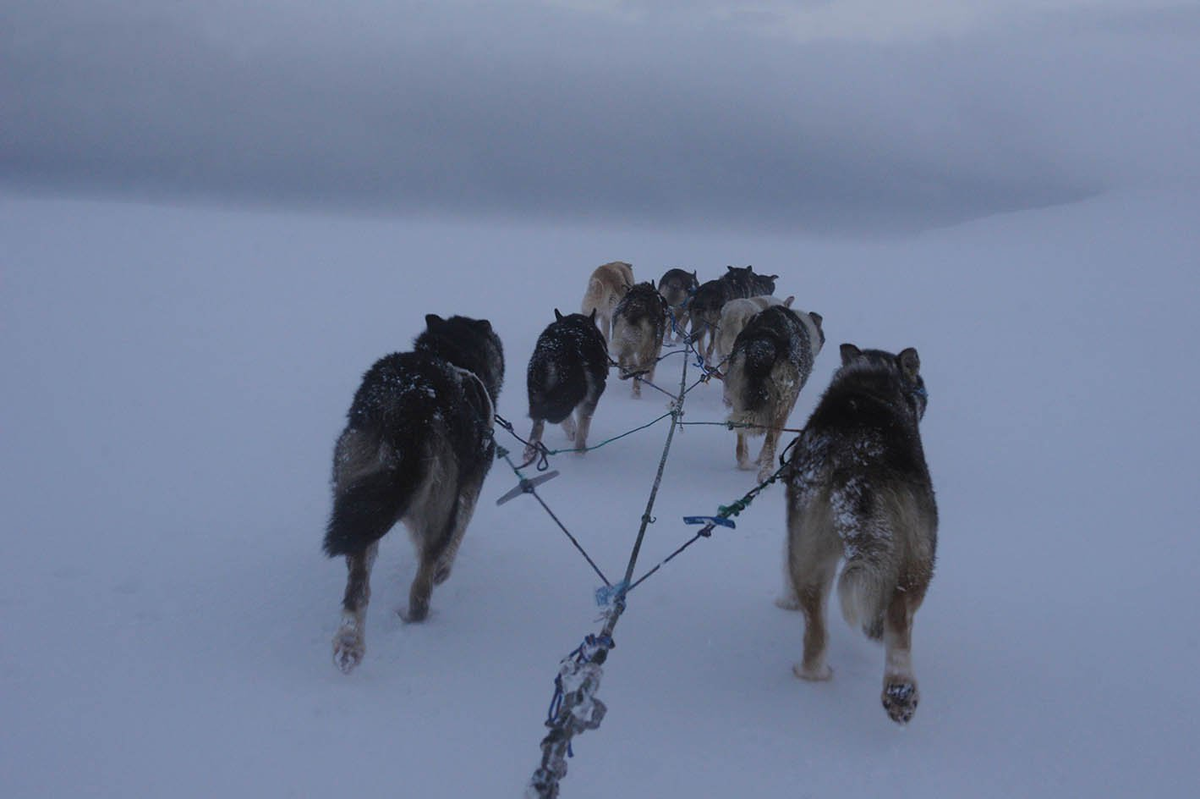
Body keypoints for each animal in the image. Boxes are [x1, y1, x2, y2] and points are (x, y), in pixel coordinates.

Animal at [321, 311, 504, 671]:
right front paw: (445, 571)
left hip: (359, 500)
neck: (450, 354)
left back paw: (349, 643)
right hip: (437, 509)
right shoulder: (469, 488)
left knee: (357, 586)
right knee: (422, 582)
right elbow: (457, 535)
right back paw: (415, 615)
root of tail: (409, 400)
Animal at [525, 309, 609, 460]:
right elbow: (584, 421)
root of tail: (554, 353)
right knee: (581, 423)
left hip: (538, 395)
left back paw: (530, 451)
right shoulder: (593, 393)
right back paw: (580, 451)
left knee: (539, 424)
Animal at [720, 303, 825, 479]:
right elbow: (774, 440)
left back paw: (745, 464)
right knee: (769, 443)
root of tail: (763, 345)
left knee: (741, 443)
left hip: (738, 397)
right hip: (782, 404)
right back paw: (765, 473)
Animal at [782, 343, 940, 719]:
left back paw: (817, 676)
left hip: (810, 548)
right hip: (920, 554)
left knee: (815, 629)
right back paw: (898, 685)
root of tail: (855, 459)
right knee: (899, 617)